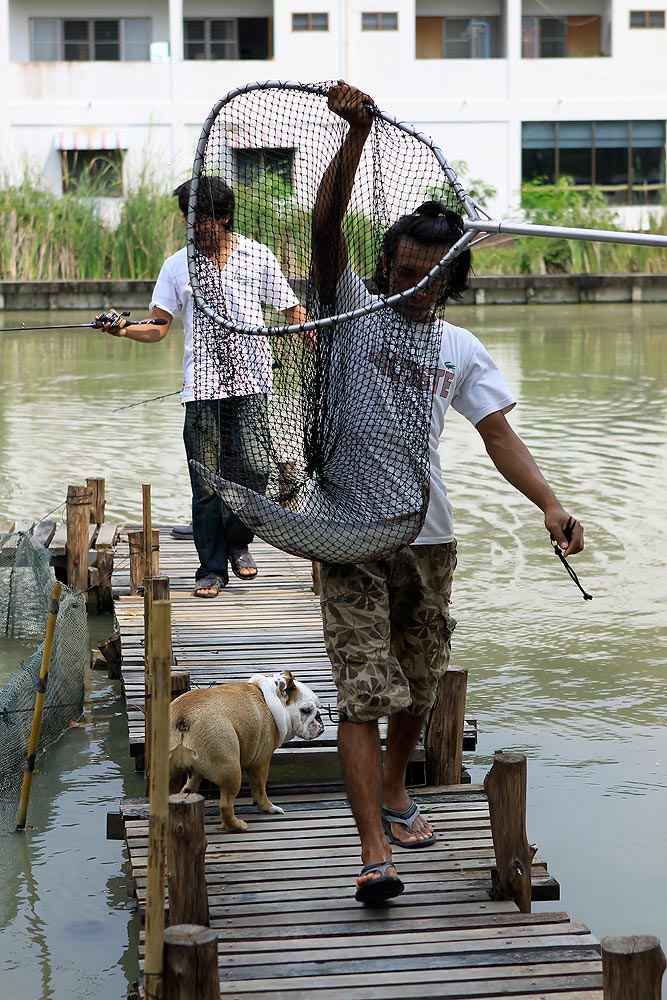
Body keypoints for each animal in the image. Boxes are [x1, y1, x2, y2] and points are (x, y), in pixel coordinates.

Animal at [167, 672, 324, 828]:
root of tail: (183, 717)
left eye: (318, 707)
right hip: (231, 770)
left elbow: (192, 781)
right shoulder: (261, 763)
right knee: (225, 804)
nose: (318, 716)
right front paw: (268, 807)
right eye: (305, 710)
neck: (271, 699)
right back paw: (237, 825)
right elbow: (259, 789)